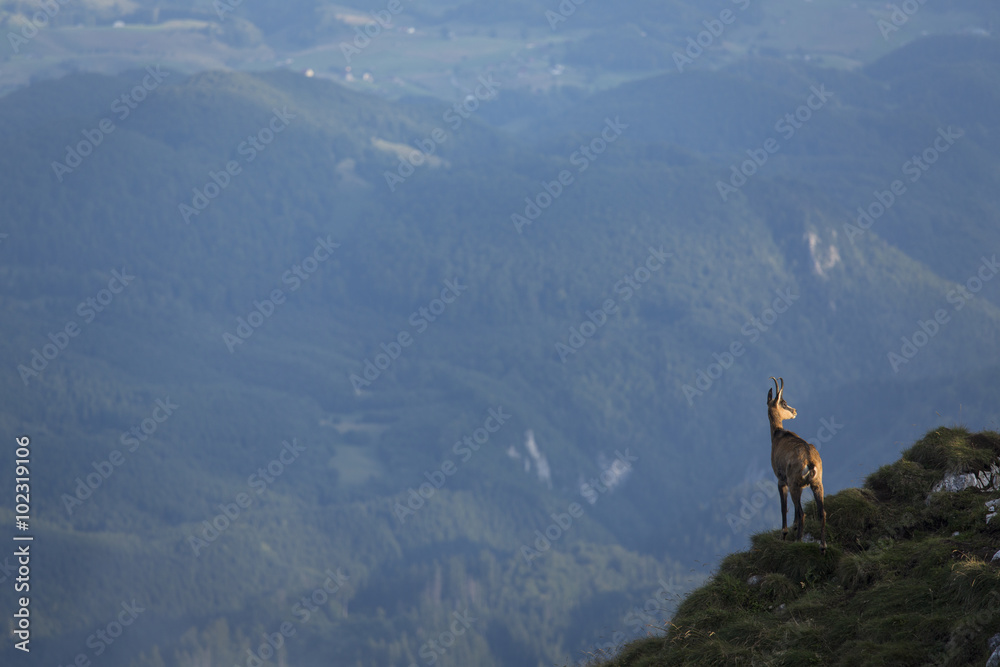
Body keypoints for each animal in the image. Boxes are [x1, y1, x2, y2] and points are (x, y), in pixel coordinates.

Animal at [767, 377, 826, 553]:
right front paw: (792, 528)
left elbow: (783, 507)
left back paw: (798, 541)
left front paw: (784, 533)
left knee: (802, 513)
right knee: (822, 512)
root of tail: (810, 462)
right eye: (784, 403)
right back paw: (822, 546)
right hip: (817, 483)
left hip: (794, 484)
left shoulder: (781, 481)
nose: (794, 411)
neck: (778, 434)